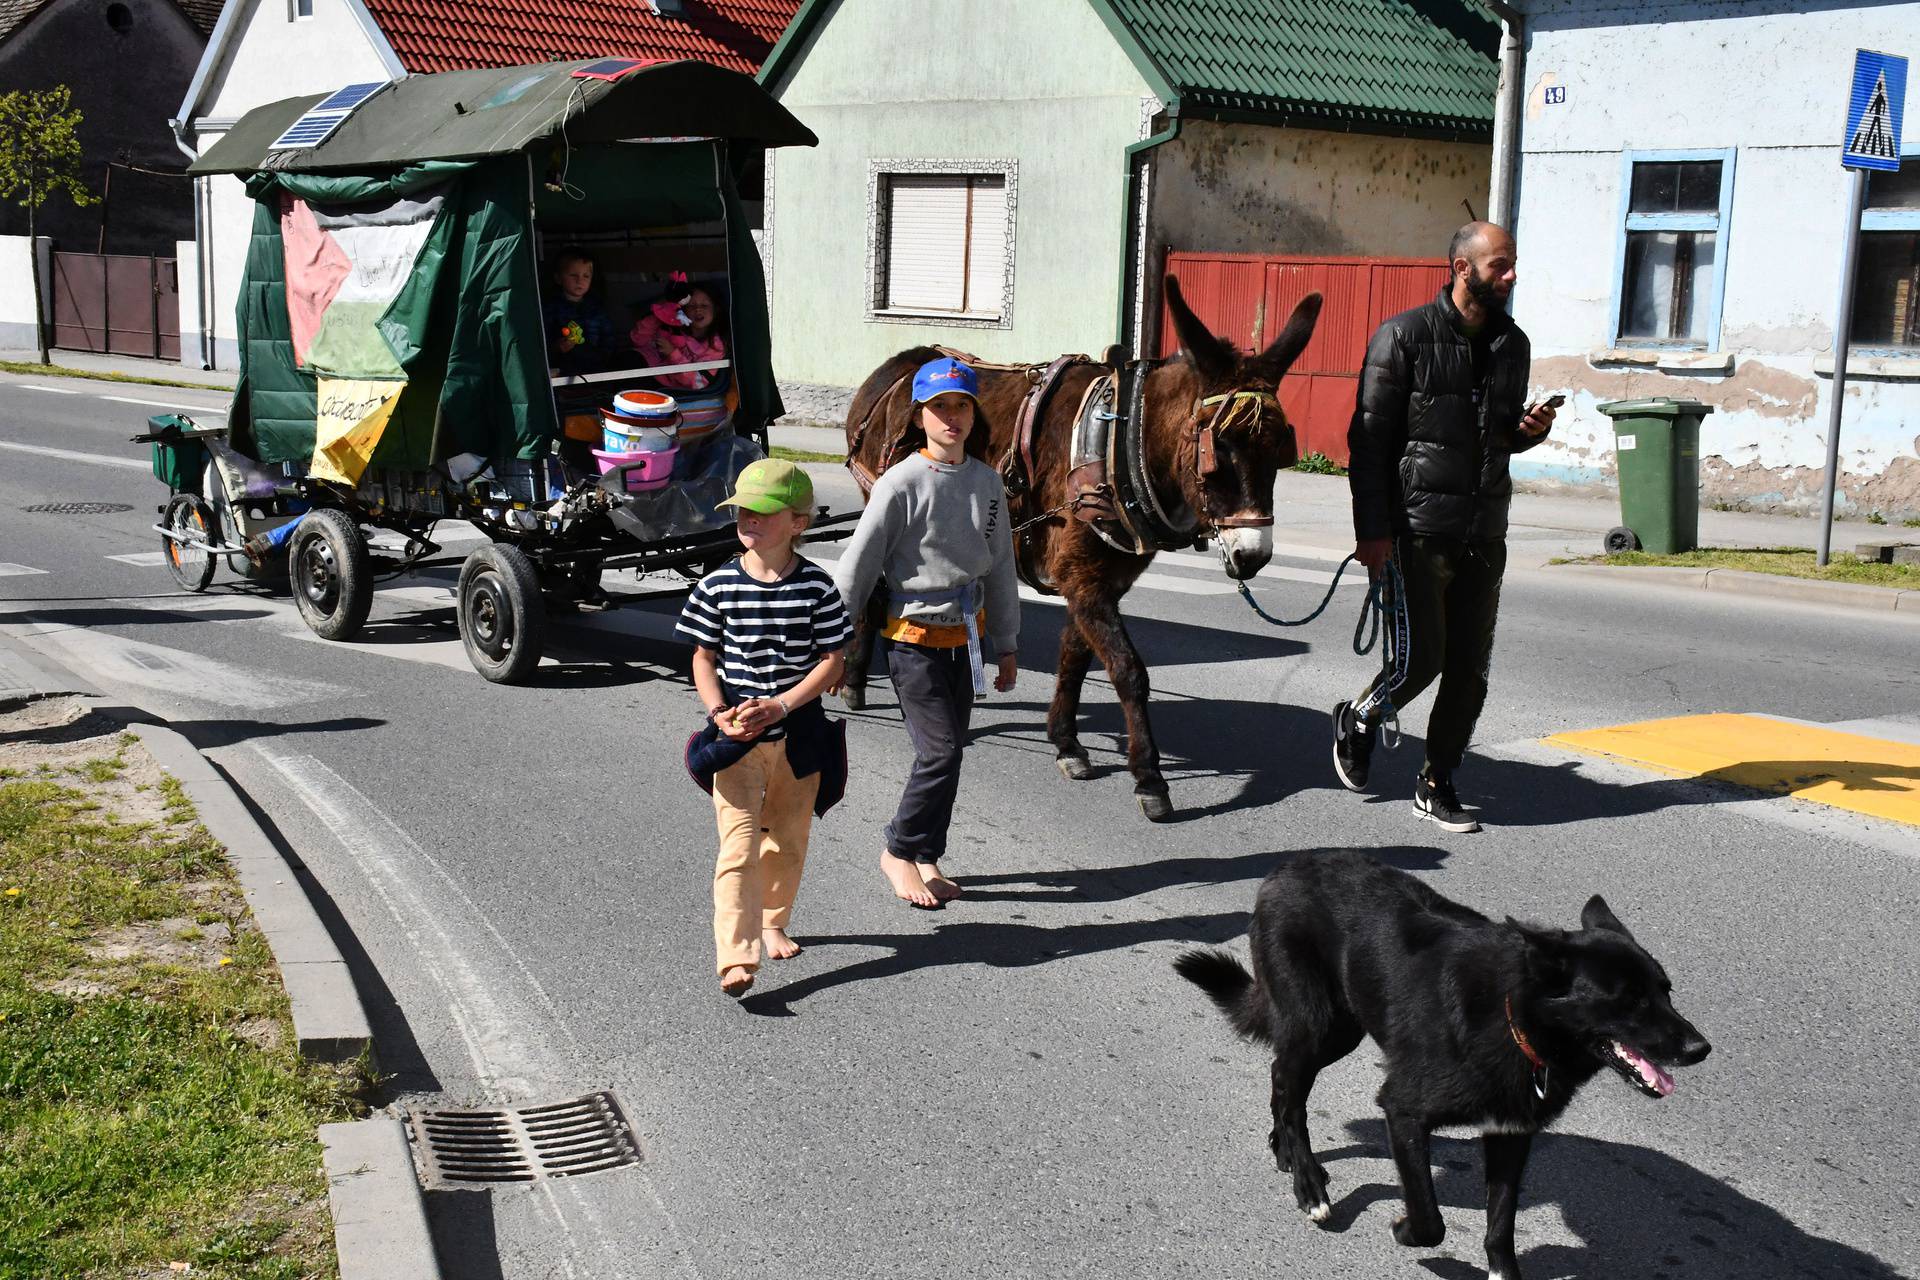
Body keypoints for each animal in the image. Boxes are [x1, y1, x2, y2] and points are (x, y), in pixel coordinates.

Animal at [1167, 852, 1712, 1280]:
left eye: (1665, 991)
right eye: (1628, 999)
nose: (1700, 1048)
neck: (1513, 1016)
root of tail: (1286, 867)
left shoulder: (1510, 1134)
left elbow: (1500, 1226)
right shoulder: (1404, 1111)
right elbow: (1431, 1221)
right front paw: (1403, 1228)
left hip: (1340, 1029)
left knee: (1281, 1080)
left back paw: (1284, 1150)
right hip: (1318, 1024)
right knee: (1288, 1084)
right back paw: (1307, 1181)